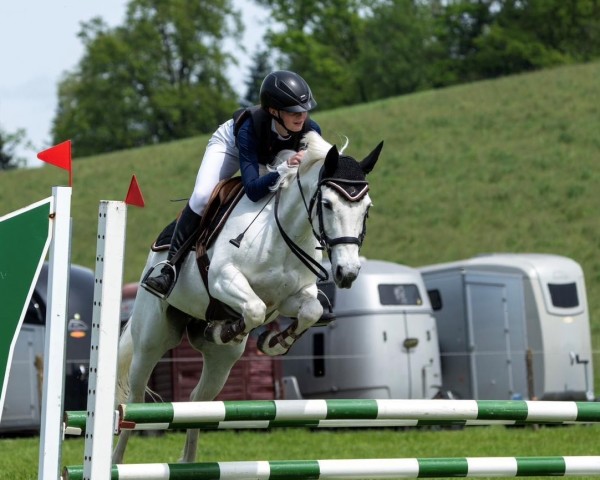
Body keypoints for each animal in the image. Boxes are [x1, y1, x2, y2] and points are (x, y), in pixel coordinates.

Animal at [113, 132, 384, 464]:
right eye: (327, 204)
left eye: (367, 208)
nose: (347, 273)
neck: (283, 231)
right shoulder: (223, 279)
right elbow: (254, 308)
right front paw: (228, 329)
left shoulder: (290, 298)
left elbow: (310, 311)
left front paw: (272, 342)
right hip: (151, 340)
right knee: (135, 401)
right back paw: (114, 462)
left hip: (221, 361)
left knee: (197, 401)